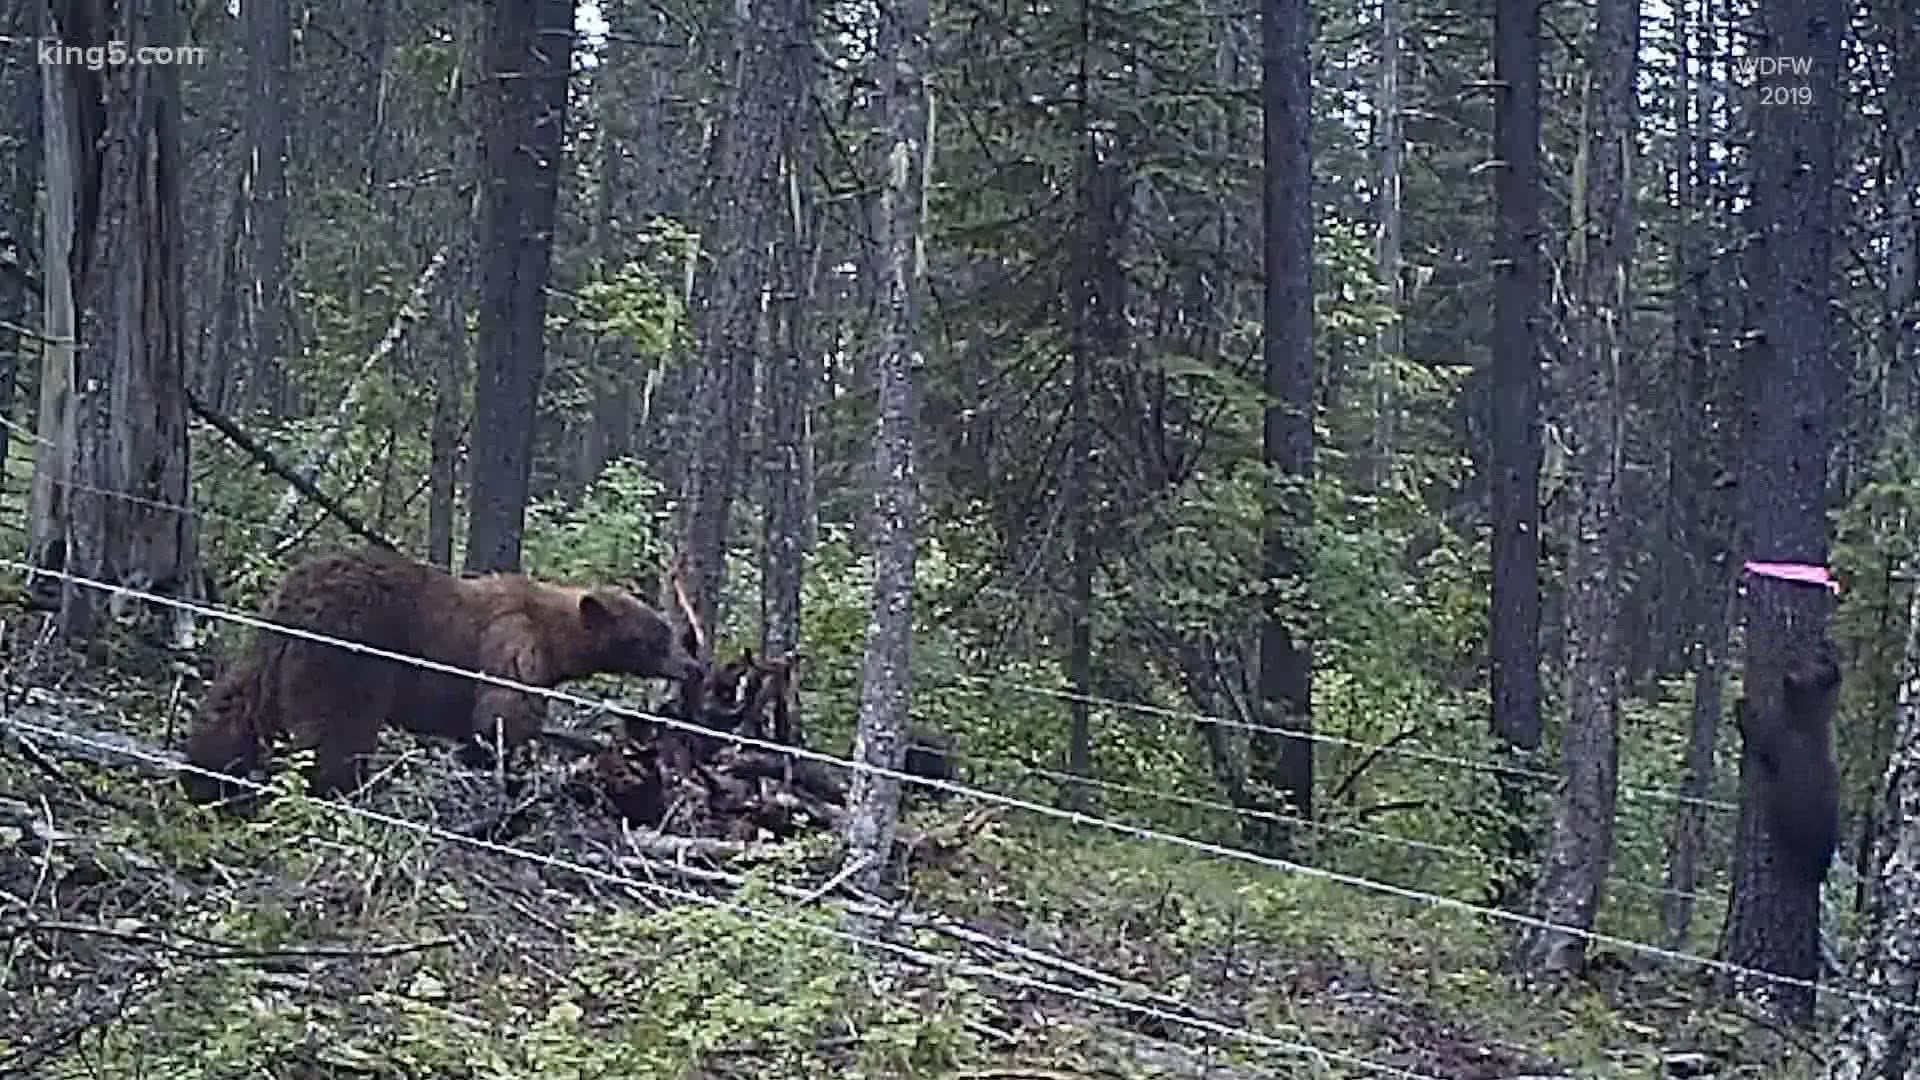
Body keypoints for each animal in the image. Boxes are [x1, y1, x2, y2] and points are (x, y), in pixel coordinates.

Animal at [178, 541, 706, 803]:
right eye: (657, 636)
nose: (692, 665)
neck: (556, 633)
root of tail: (300, 598)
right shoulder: (514, 642)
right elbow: (503, 712)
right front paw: (508, 770)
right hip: (349, 654)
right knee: (338, 729)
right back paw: (343, 787)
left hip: (269, 646)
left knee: (236, 706)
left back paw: (206, 776)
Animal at [1735, 638, 1835, 883]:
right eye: (1799, 662)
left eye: (1808, 673)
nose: (1788, 677)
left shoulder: (1780, 738)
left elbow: (1760, 736)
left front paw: (1743, 707)